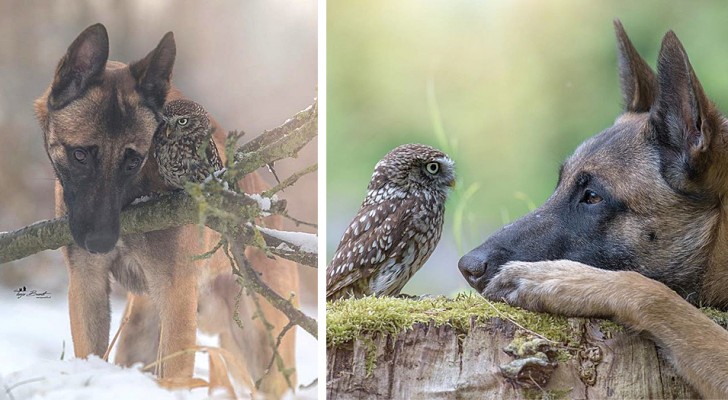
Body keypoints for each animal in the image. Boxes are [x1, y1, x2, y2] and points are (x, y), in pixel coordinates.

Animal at [34, 23, 298, 396]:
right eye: (80, 155)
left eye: (133, 161)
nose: (100, 242)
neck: (135, 194)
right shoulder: (87, 283)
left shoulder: (175, 293)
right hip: (139, 336)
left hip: (264, 357)